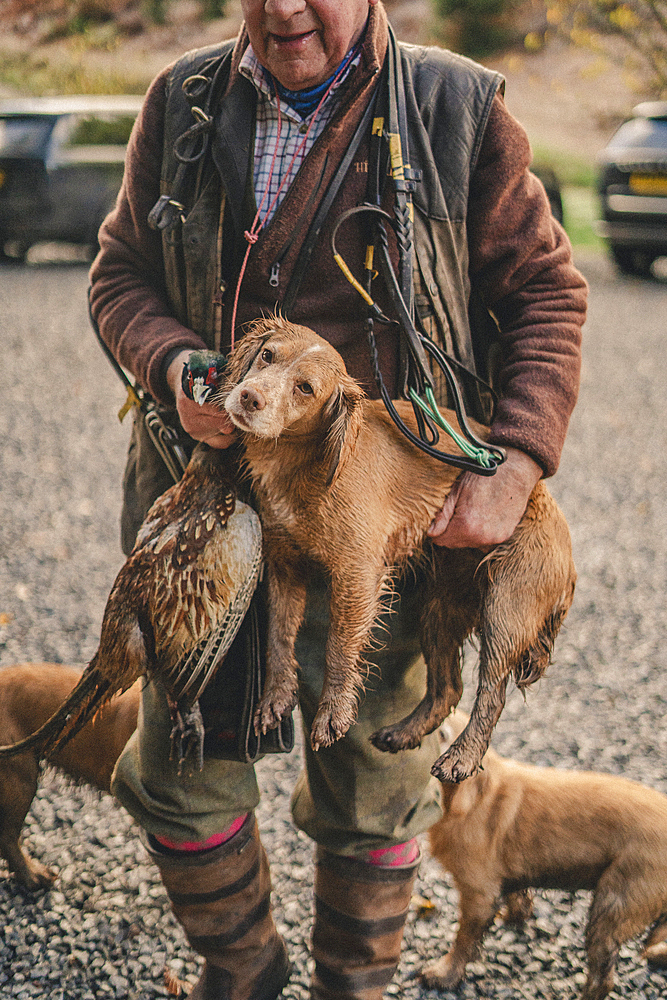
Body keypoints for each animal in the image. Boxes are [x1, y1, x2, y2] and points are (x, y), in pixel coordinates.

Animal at [222, 316, 576, 776]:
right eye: (267, 355)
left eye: (306, 388)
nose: (249, 397)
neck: (303, 464)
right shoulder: (284, 565)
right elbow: (279, 638)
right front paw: (275, 699)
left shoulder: (359, 572)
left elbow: (339, 647)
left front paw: (333, 714)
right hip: (440, 607)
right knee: (448, 688)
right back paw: (404, 733)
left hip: (506, 607)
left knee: (492, 691)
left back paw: (462, 756)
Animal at [426, 712, 667, 1000]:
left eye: (441, 734)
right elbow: (517, 894)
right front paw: (516, 916)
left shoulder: (478, 892)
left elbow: (464, 939)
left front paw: (444, 974)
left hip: (614, 903)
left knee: (602, 976)